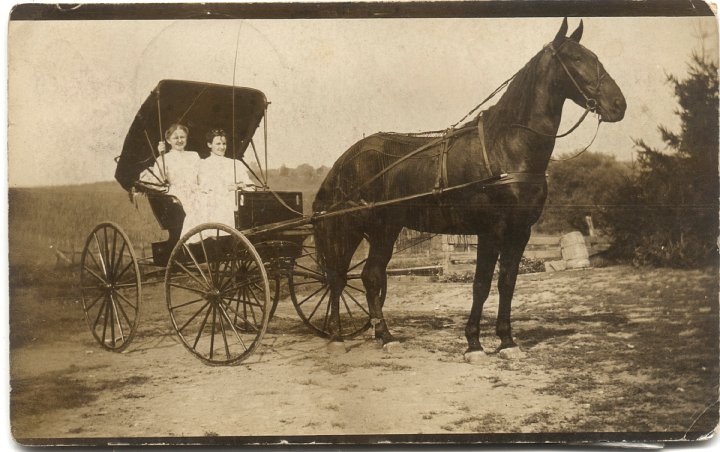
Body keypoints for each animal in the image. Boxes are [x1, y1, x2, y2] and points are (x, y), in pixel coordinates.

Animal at [312, 17, 628, 358]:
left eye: (594, 56)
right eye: (577, 58)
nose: (619, 105)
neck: (506, 147)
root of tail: (348, 157)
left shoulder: (520, 231)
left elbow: (507, 283)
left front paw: (507, 341)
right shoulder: (490, 230)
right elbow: (481, 285)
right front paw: (474, 344)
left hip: (385, 229)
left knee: (364, 275)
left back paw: (373, 334)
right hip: (356, 228)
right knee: (344, 277)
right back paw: (349, 335)